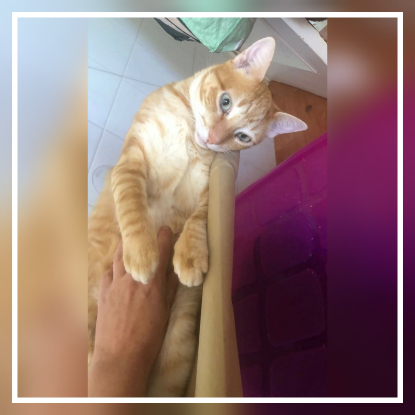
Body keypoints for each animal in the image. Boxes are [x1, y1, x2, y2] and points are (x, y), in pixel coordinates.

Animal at [88, 37, 307, 397]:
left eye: (243, 136)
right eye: (225, 102)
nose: (214, 139)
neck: (191, 133)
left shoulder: (209, 181)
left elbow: (201, 215)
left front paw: (190, 253)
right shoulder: (132, 160)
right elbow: (131, 202)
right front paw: (141, 252)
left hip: (177, 346)